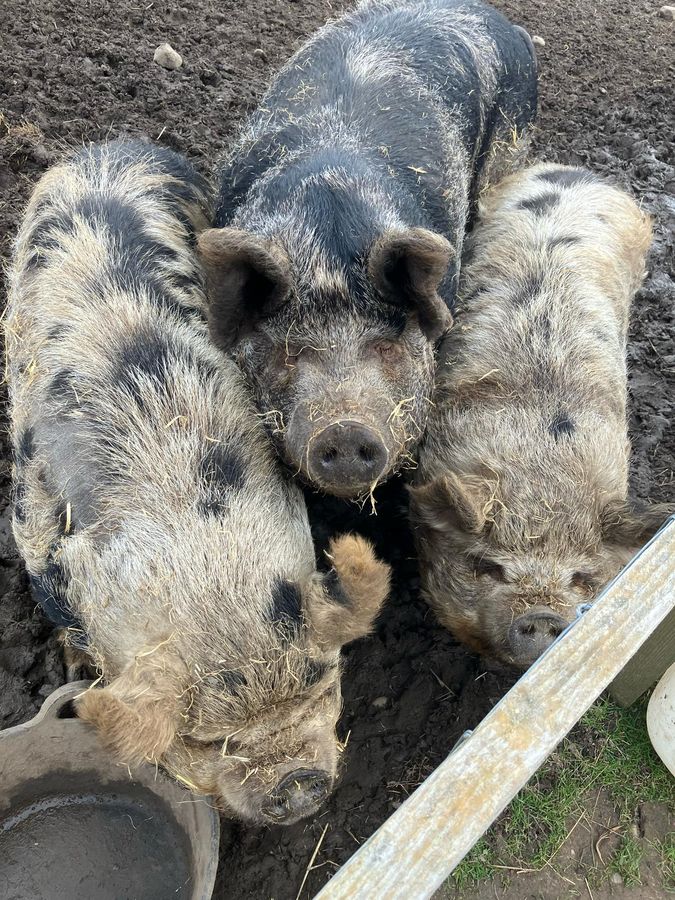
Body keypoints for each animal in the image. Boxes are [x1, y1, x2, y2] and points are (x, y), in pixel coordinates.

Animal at [5, 139, 391, 824]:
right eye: (209, 741)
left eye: (323, 681)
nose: (297, 785)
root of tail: (107, 147)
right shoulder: (36, 535)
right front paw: (74, 664)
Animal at [199, 0, 538, 499]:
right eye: (290, 352)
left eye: (386, 346)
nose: (344, 428)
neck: (324, 242)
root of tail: (501, 22)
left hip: (510, 147)